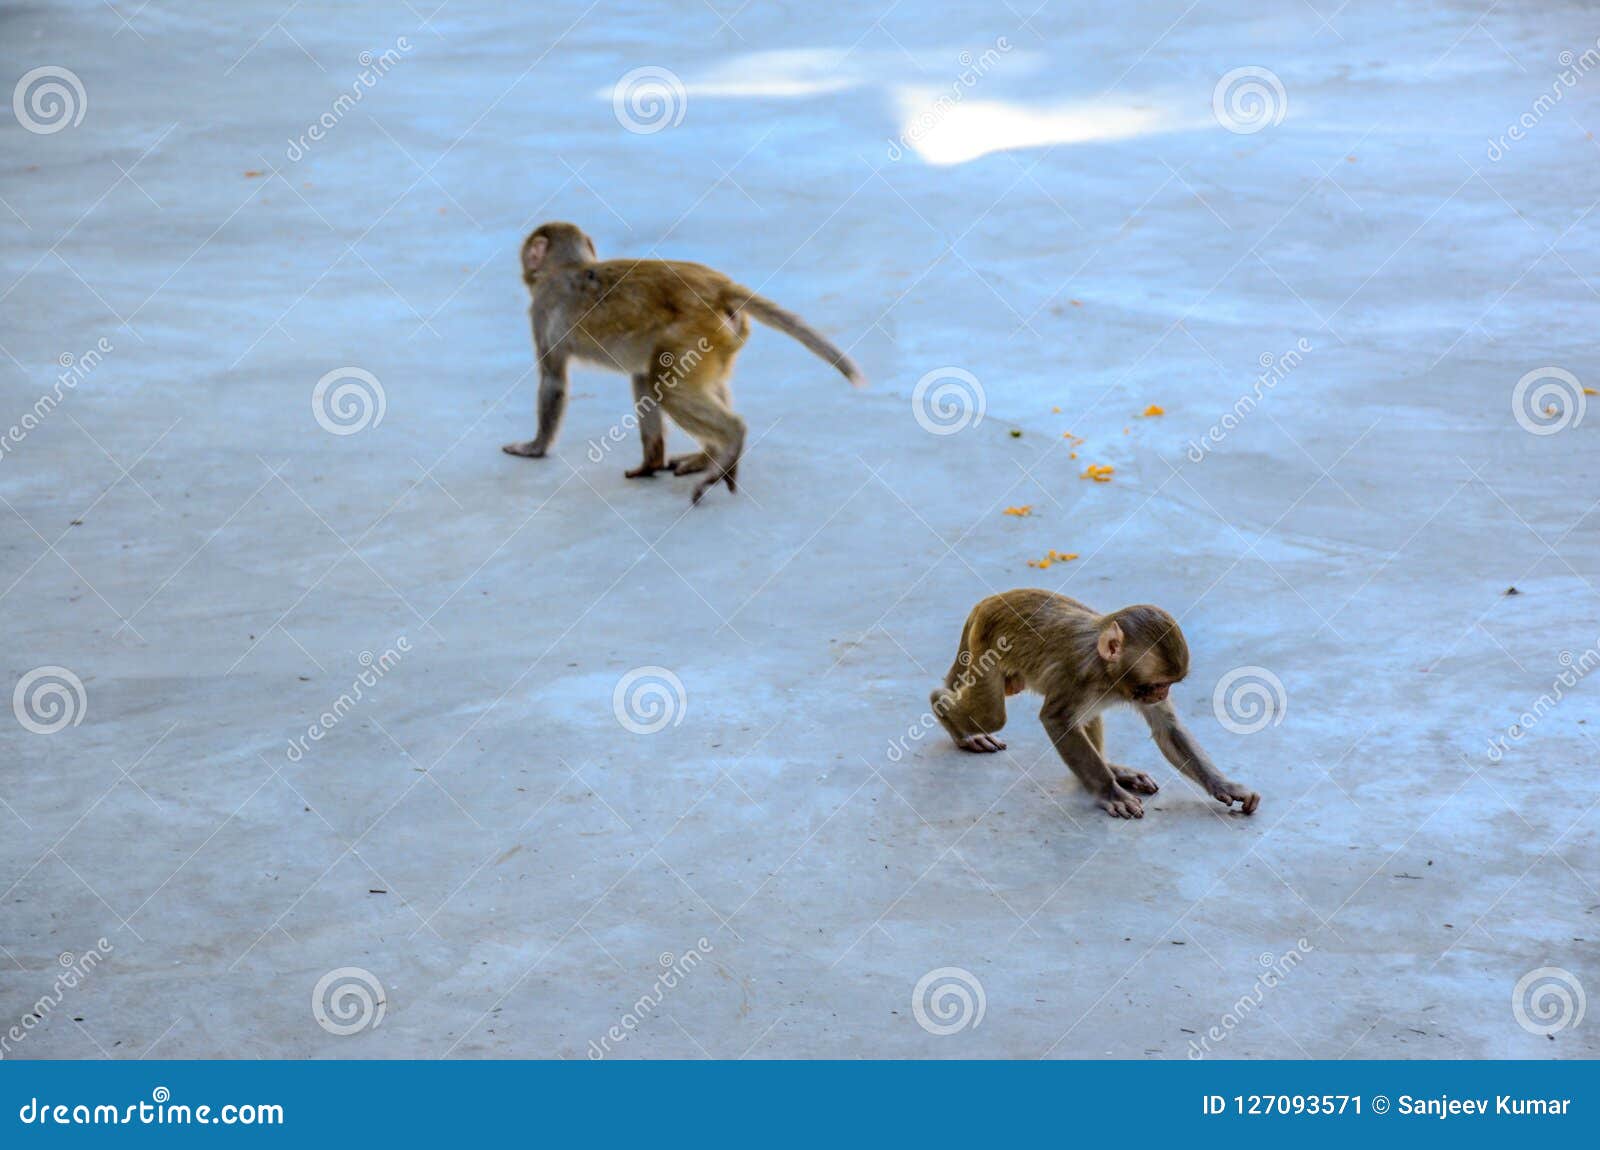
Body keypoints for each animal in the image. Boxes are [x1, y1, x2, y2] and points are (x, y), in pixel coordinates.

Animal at [502, 222, 865, 503]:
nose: (524, 265)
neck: (568, 268)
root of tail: (719, 287)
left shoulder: (542, 309)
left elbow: (553, 381)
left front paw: (534, 447)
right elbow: (639, 377)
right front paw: (650, 463)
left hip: (696, 331)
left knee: (668, 387)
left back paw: (730, 440)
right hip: (721, 338)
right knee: (663, 378)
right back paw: (708, 457)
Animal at [929, 589, 1259, 819]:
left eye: (1168, 685)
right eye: (1157, 684)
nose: (1161, 695)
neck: (1107, 671)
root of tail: (986, 602)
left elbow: (1168, 729)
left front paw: (1224, 786)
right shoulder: (1076, 675)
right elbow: (1057, 721)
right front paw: (1110, 793)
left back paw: (1115, 769)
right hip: (985, 648)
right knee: (991, 715)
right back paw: (950, 715)